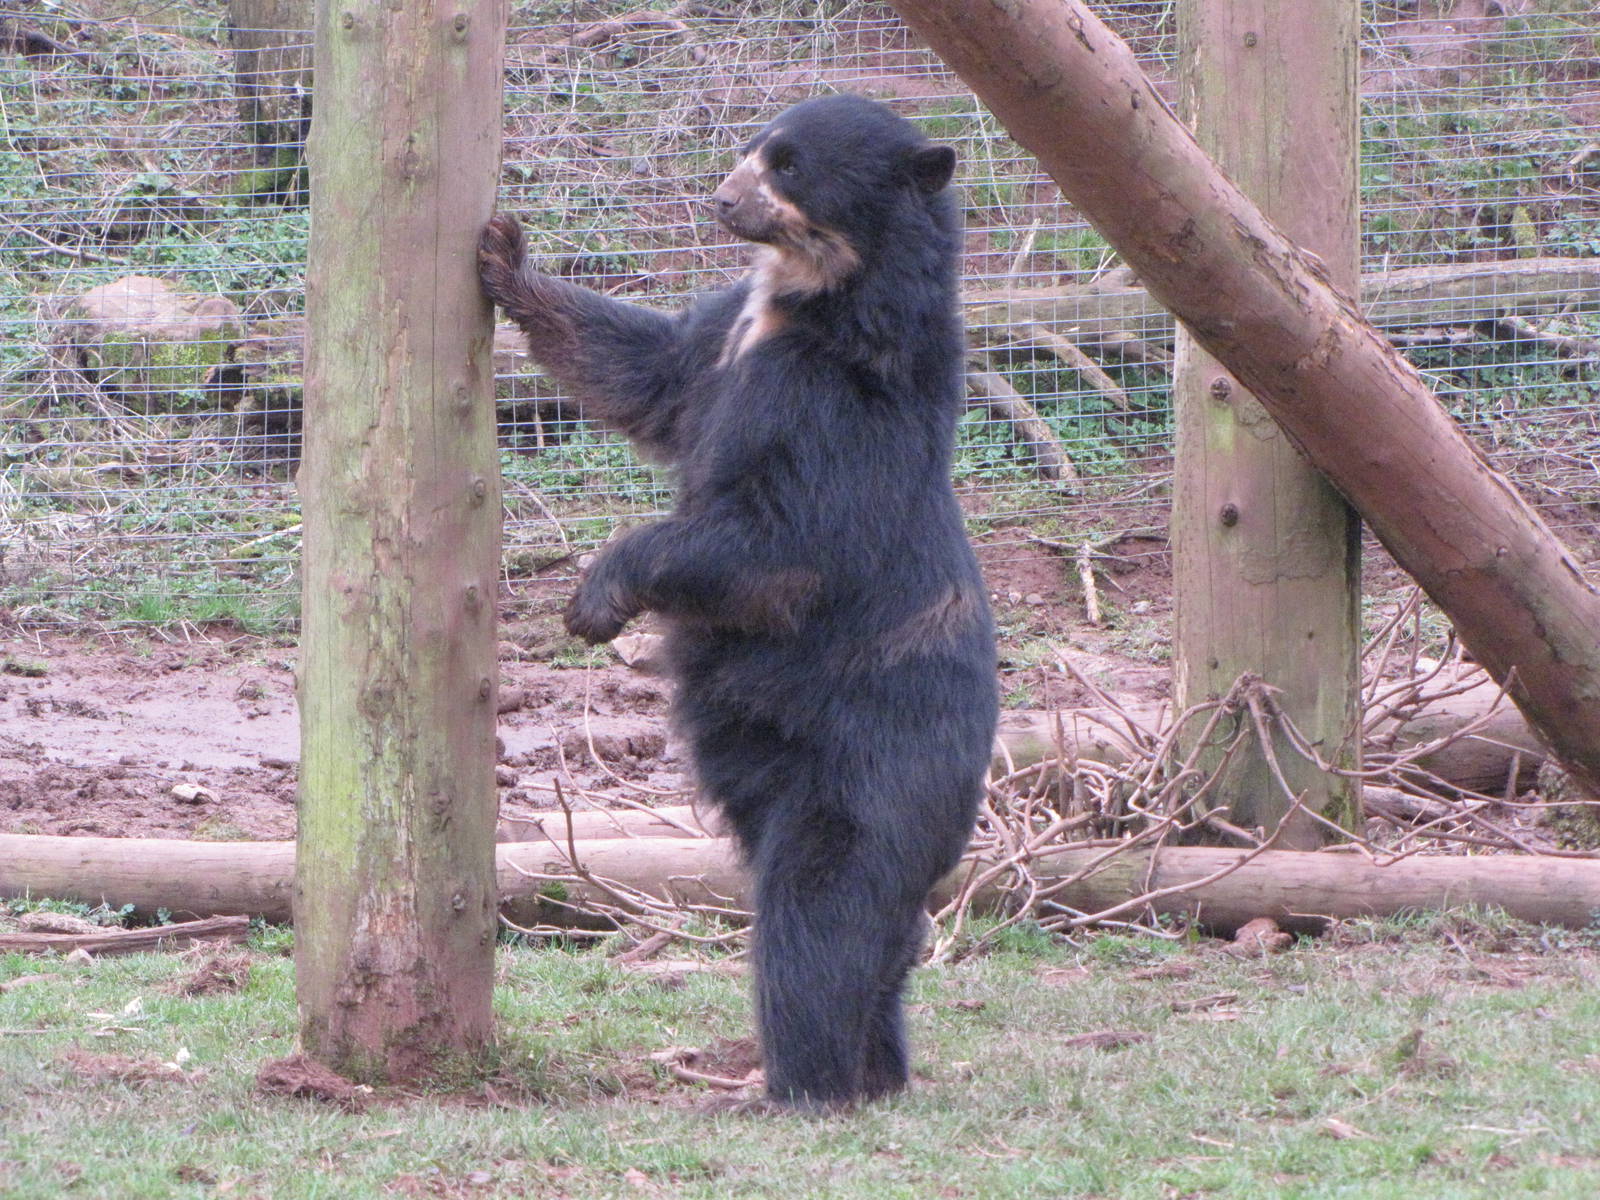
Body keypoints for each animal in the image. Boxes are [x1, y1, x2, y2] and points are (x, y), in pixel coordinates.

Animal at [478, 94, 998, 1110]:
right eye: (757, 146)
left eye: (788, 166)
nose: (719, 199)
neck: (808, 299)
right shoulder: (723, 340)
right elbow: (648, 369)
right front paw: (504, 255)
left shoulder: (835, 408)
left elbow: (775, 543)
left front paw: (594, 596)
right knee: (881, 945)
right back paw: (876, 1068)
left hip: (870, 764)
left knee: (822, 916)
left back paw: (799, 1078)